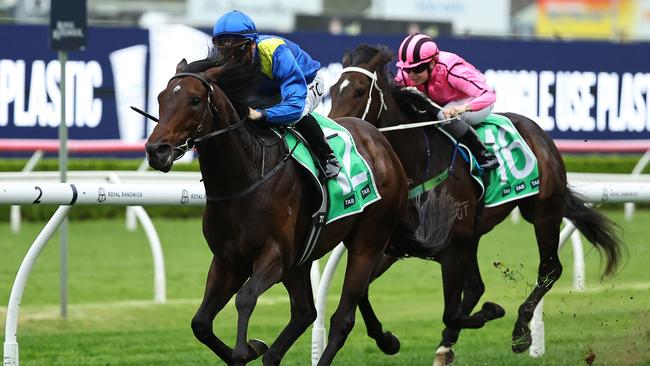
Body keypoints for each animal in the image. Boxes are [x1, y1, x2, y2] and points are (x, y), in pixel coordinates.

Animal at [144, 55, 408, 364]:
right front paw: (253, 349)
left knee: (342, 319)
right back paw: (272, 354)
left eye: (195, 100)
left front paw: (243, 350)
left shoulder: (274, 256)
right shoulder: (227, 261)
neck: (246, 178)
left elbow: (245, 298)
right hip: (301, 259)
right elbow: (200, 323)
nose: (157, 150)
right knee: (305, 312)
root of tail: (380, 140)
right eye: (161, 97)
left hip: (368, 242)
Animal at [330, 44, 624, 364]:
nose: (337, 129)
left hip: (543, 212)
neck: (418, 161)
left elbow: (450, 312)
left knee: (550, 270)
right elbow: (361, 294)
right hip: (474, 233)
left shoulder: (450, 248)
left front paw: (492, 313)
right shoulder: (394, 244)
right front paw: (388, 340)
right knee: (476, 286)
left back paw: (521, 332)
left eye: (359, 91)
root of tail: (538, 131)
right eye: (332, 89)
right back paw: (448, 345)